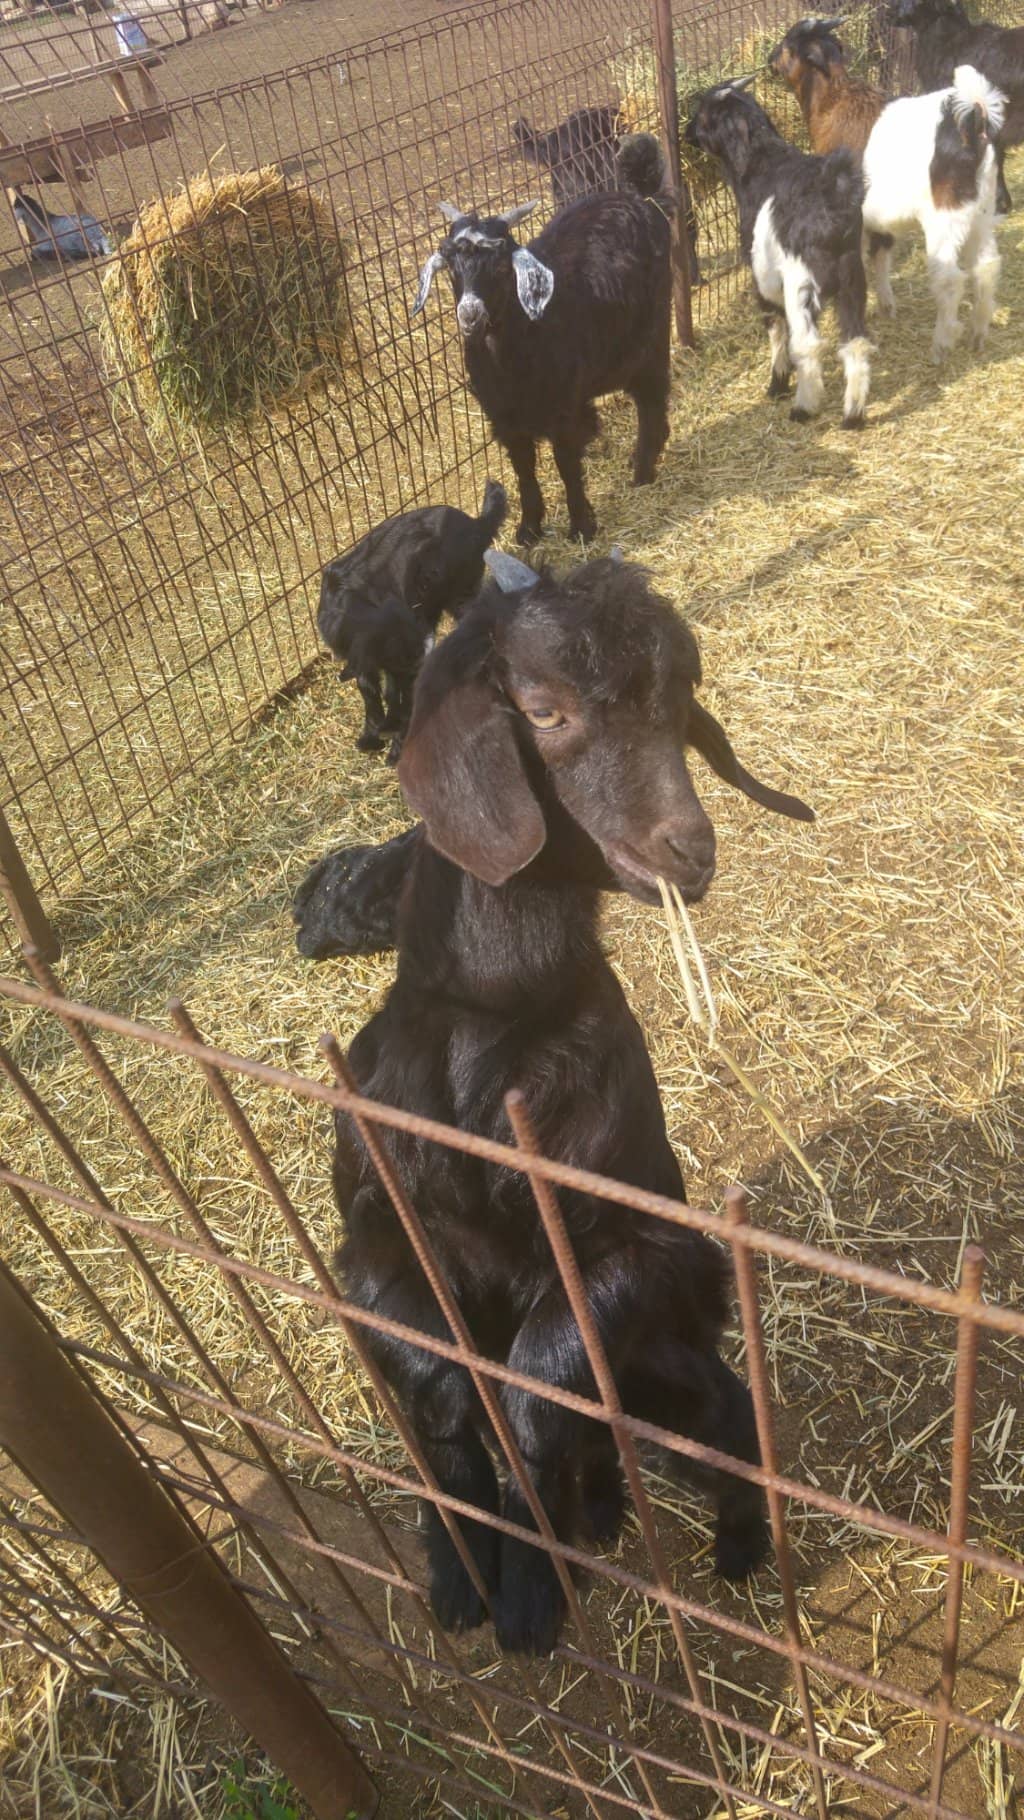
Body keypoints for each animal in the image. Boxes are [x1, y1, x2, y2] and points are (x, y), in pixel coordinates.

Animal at [317, 479, 507, 760]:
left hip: (462, 592)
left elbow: (397, 695)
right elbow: (370, 691)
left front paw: (396, 746)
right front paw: (371, 738)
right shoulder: (371, 659)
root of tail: (476, 523)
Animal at [332, 551, 816, 1654]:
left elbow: (538, 1382)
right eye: (543, 710)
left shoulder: (641, 1243)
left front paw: (526, 1595)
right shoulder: (370, 1223)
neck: (492, 1022)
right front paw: (462, 1571)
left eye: (680, 703)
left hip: (681, 1377)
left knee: (724, 1438)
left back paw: (725, 1550)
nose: (687, 849)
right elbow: (439, 1383)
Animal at [411, 135, 673, 546]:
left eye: (503, 267)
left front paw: (581, 526)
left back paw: (643, 468)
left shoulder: (562, 410)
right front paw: (529, 528)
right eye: (451, 268)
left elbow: (565, 464)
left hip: (653, 330)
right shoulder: (505, 417)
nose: (470, 315)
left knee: (651, 394)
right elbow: (524, 470)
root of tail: (641, 198)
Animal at [683, 77, 873, 426]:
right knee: (855, 341)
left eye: (703, 115)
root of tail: (831, 197)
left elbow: (775, 328)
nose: (687, 133)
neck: (761, 166)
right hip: (852, 279)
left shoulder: (764, 278)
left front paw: (777, 384)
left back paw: (803, 407)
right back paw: (853, 414)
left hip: (801, 282)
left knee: (809, 343)